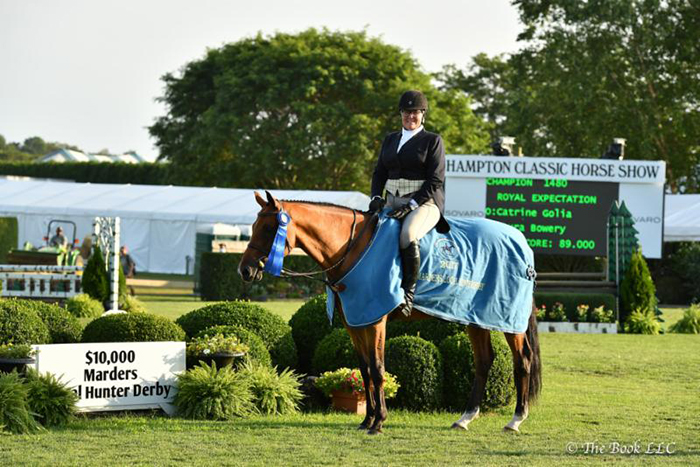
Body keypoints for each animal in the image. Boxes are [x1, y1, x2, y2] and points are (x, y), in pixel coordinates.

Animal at [239, 191, 540, 436]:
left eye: (269, 228)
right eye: (253, 227)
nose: (245, 270)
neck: (352, 248)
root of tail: (521, 242)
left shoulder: (375, 321)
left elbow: (377, 368)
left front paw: (379, 421)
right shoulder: (355, 321)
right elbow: (364, 370)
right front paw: (367, 420)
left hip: (508, 321)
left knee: (522, 361)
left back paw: (515, 420)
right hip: (474, 318)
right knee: (484, 361)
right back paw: (465, 419)